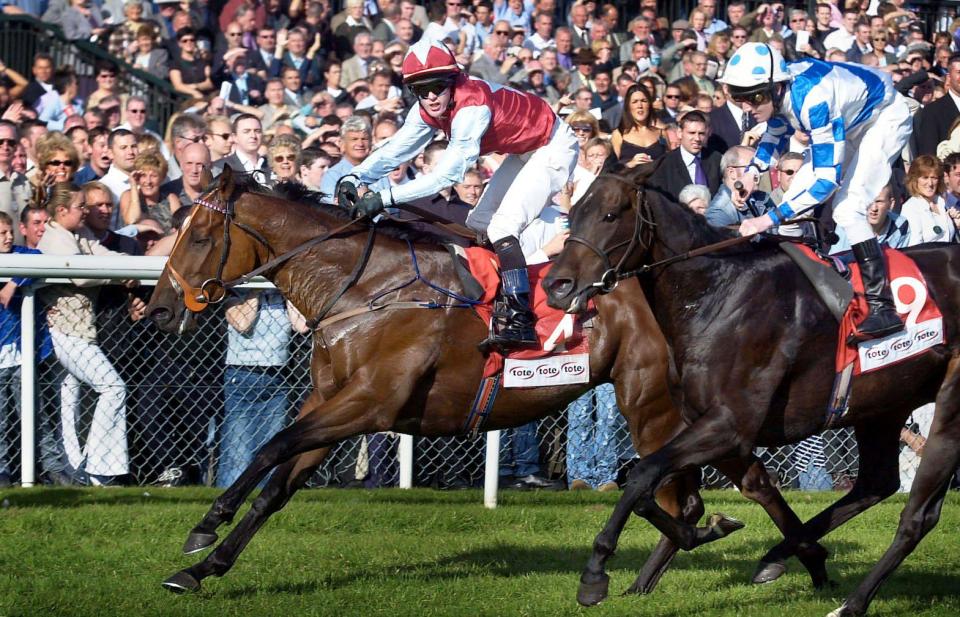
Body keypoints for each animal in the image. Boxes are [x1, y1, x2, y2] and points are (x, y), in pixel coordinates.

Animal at [144, 167, 824, 596]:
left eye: (199, 236)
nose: (158, 310)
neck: (365, 289)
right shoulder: (330, 400)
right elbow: (275, 488)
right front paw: (205, 568)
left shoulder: (369, 402)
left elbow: (269, 449)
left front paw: (205, 526)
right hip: (688, 411)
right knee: (704, 490)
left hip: (654, 404)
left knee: (688, 491)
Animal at [544, 165, 960, 616]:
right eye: (572, 214)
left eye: (610, 214)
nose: (556, 285)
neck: (717, 294)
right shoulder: (713, 425)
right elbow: (687, 489)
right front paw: (714, 533)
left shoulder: (730, 423)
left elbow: (641, 476)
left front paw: (594, 573)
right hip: (883, 404)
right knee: (876, 483)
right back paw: (779, 557)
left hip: (947, 407)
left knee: (917, 516)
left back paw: (852, 602)